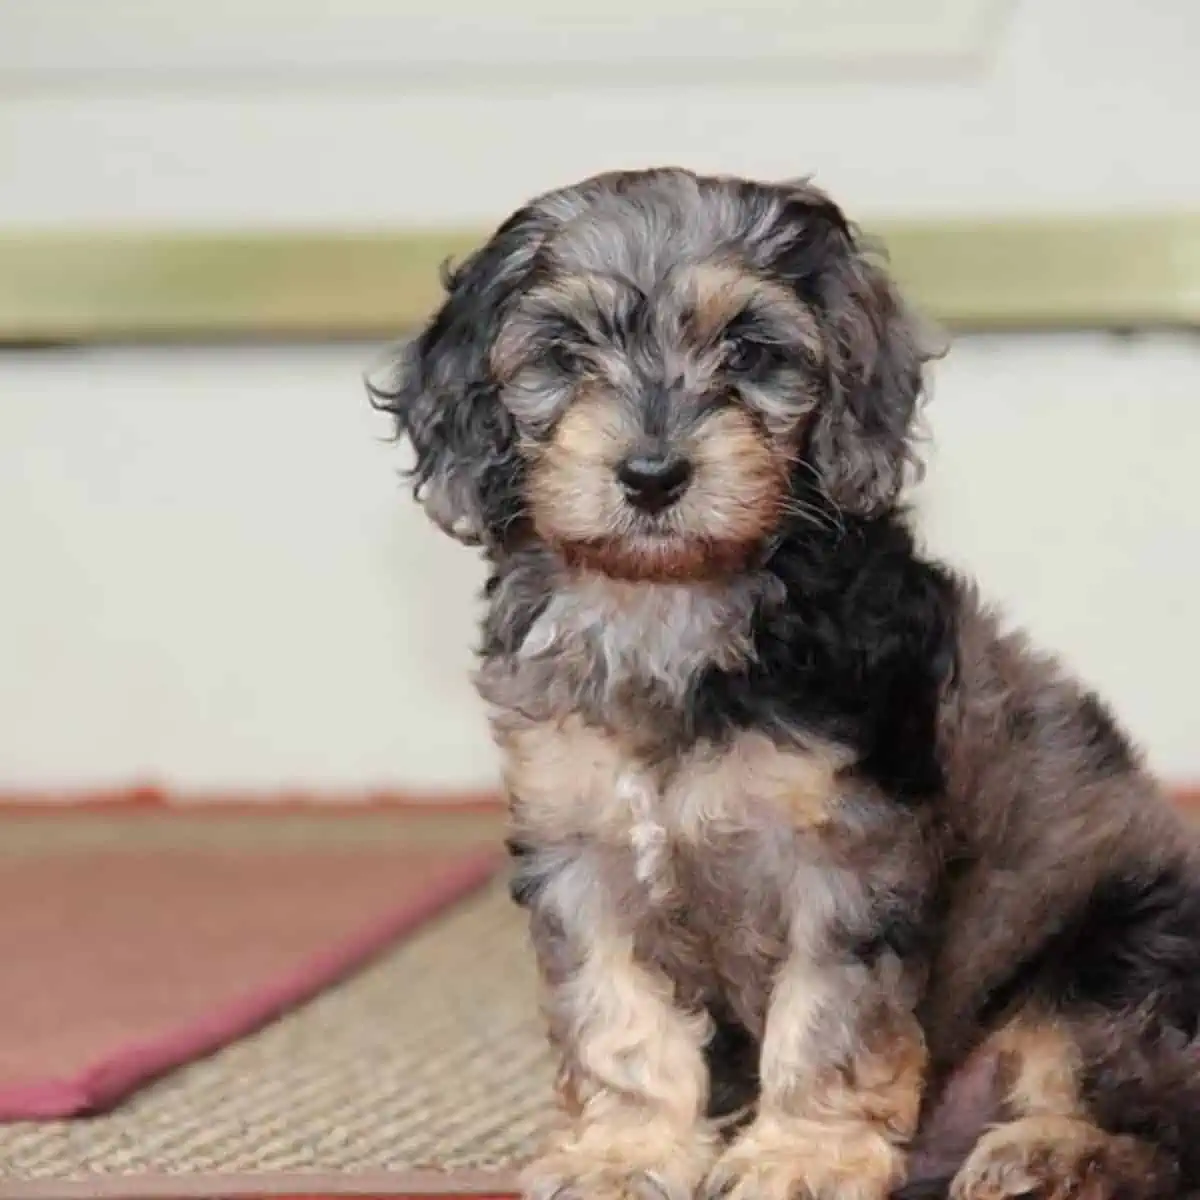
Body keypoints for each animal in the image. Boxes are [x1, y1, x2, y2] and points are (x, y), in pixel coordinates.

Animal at [367, 169, 1200, 1200]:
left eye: (750, 350)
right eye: (563, 353)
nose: (653, 476)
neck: (669, 606)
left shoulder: (848, 856)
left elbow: (829, 1014)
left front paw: (802, 1157)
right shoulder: (579, 847)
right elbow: (615, 1014)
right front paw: (624, 1154)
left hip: (1118, 961)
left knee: (1133, 1098)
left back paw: (1049, 1154)